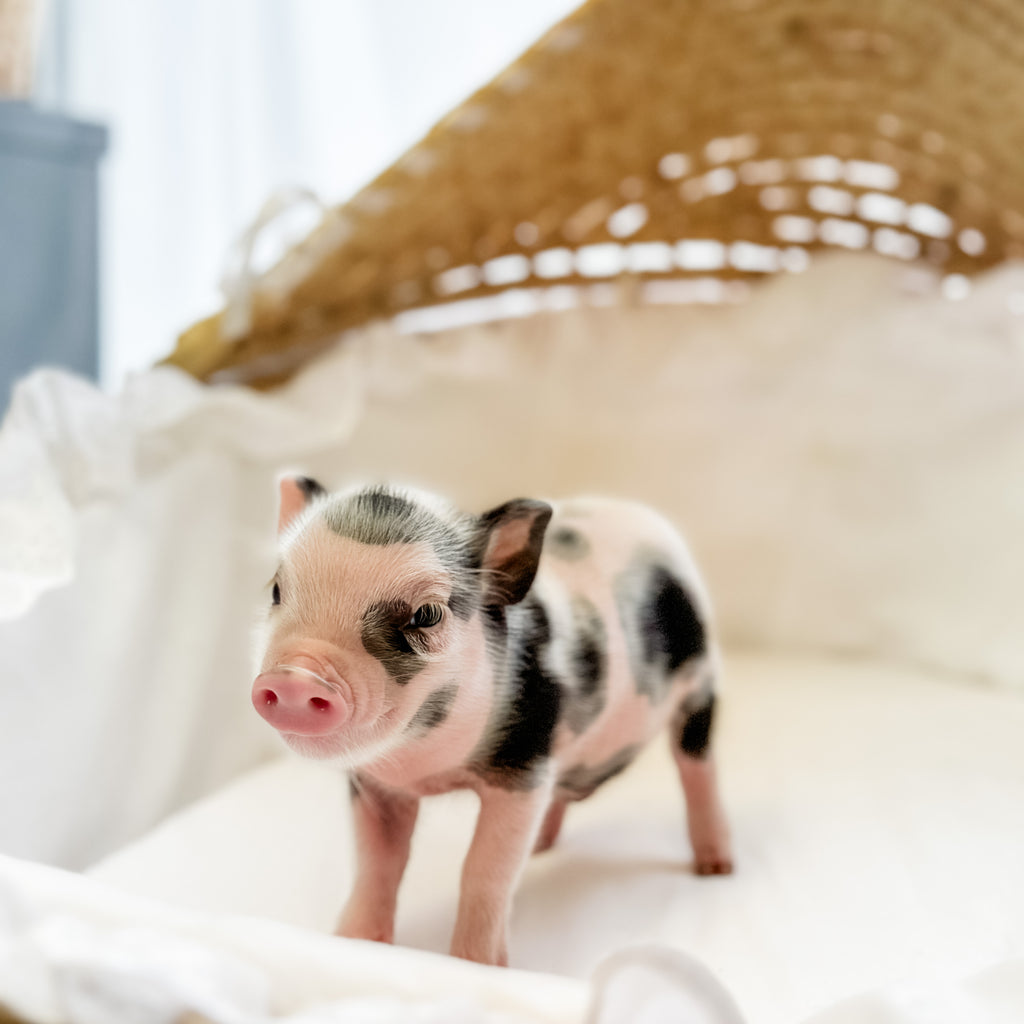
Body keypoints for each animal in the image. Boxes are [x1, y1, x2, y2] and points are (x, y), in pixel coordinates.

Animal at [252, 477, 732, 967]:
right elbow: (377, 865)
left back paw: (715, 869)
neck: (430, 771)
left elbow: (485, 871)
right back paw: (541, 847)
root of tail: (644, 516)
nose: (296, 677)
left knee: (697, 765)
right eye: (276, 590)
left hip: (701, 680)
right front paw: (350, 944)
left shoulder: (523, 766)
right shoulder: (377, 787)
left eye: (427, 614)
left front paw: (477, 966)